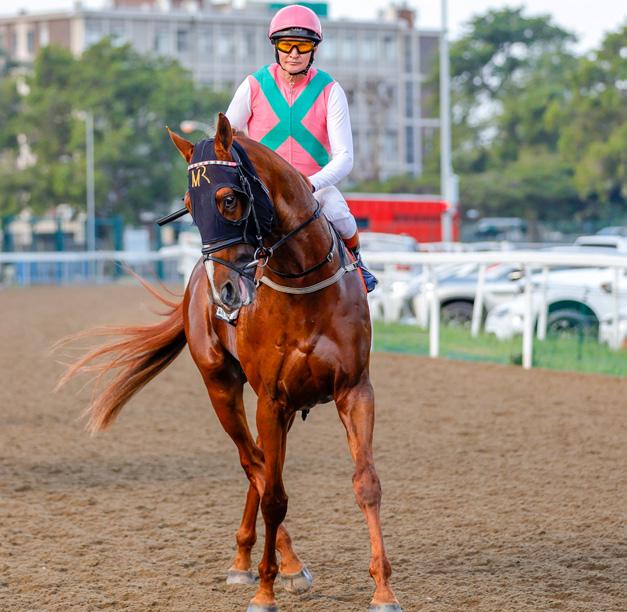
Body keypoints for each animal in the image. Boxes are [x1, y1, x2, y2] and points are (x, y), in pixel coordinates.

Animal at [58, 113, 401, 612]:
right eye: (188, 204)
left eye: (228, 199)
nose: (227, 293)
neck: (303, 283)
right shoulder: (272, 398)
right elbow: (273, 493)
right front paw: (266, 589)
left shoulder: (353, 389)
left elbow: (366, 483)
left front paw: (382, 589)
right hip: (221, 386)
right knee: (253, 464)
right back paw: (273, 564)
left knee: (257, 463)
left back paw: (253, 558)